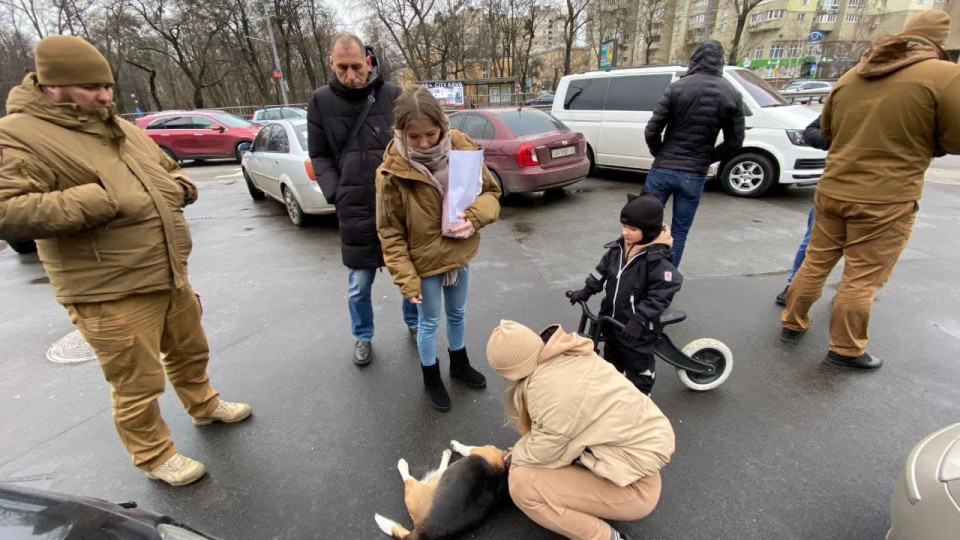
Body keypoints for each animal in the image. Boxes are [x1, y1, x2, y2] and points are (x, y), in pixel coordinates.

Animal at [374, 440, 510, 536]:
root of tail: (423, 530)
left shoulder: (480, 450)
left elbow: (466, 448)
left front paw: (456, 445)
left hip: (415, 489)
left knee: (410, 477)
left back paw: (403, 464)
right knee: (442, 470)